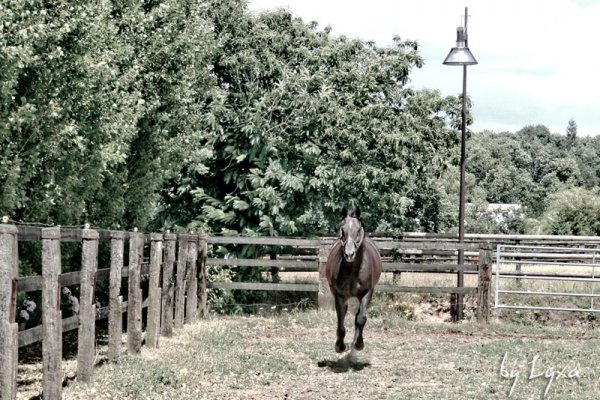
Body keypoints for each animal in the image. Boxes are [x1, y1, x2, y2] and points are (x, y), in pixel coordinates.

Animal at [326, 208, 382, 360]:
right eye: (342, 229)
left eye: (358, 229)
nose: (349, 254)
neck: (353, 271)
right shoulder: (339, 295)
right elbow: (340, 320)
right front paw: (340, 346)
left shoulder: (367, 293)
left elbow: (361, 319)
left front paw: (358, 345)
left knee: (358, 317)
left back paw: (353, 350)